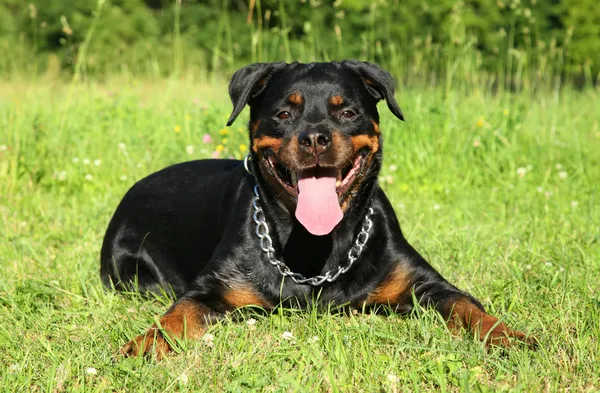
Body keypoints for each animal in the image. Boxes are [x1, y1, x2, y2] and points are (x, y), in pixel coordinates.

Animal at [99, 59, 536, 356]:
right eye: (283, 113)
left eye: (347, 111)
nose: (314, 138)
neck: (314, 244)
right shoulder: (210, 288)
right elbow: (177, 315)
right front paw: (143, 345)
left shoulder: (425, 283)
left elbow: (467, 306)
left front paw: (509, 336)